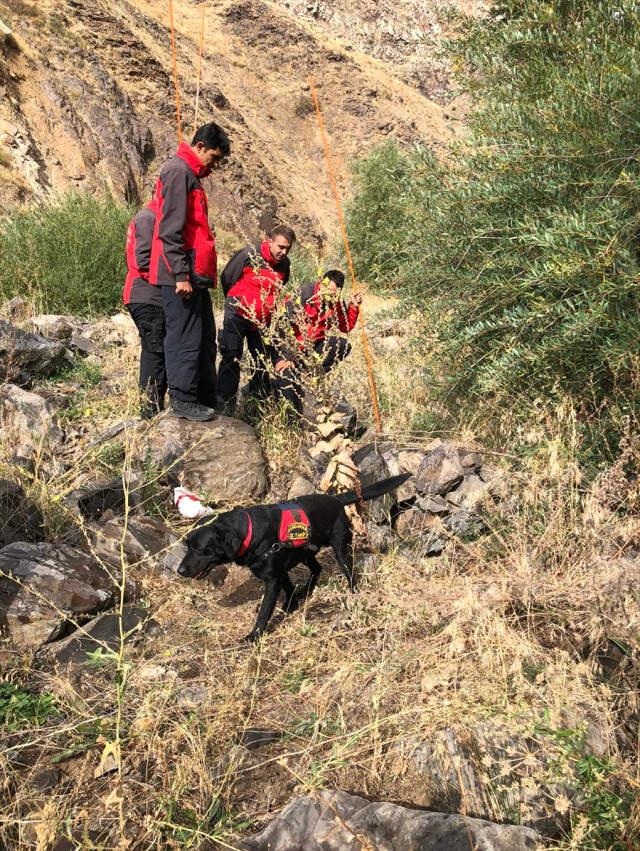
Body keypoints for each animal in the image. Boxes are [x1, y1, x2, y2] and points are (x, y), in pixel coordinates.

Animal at [178, 472, 408, 640]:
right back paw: (305, 591)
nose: (179, 571)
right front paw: (291, 604)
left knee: (348, 571)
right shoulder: (279, 571)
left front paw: (254, 636)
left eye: (199, 548)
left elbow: (264, 612)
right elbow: (288, 588)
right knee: (316, 568)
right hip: (305, 551)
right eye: (187, 545)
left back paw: (351, 592)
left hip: (339, 548)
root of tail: (335, 499)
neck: (249, 532)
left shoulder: (272, 579)